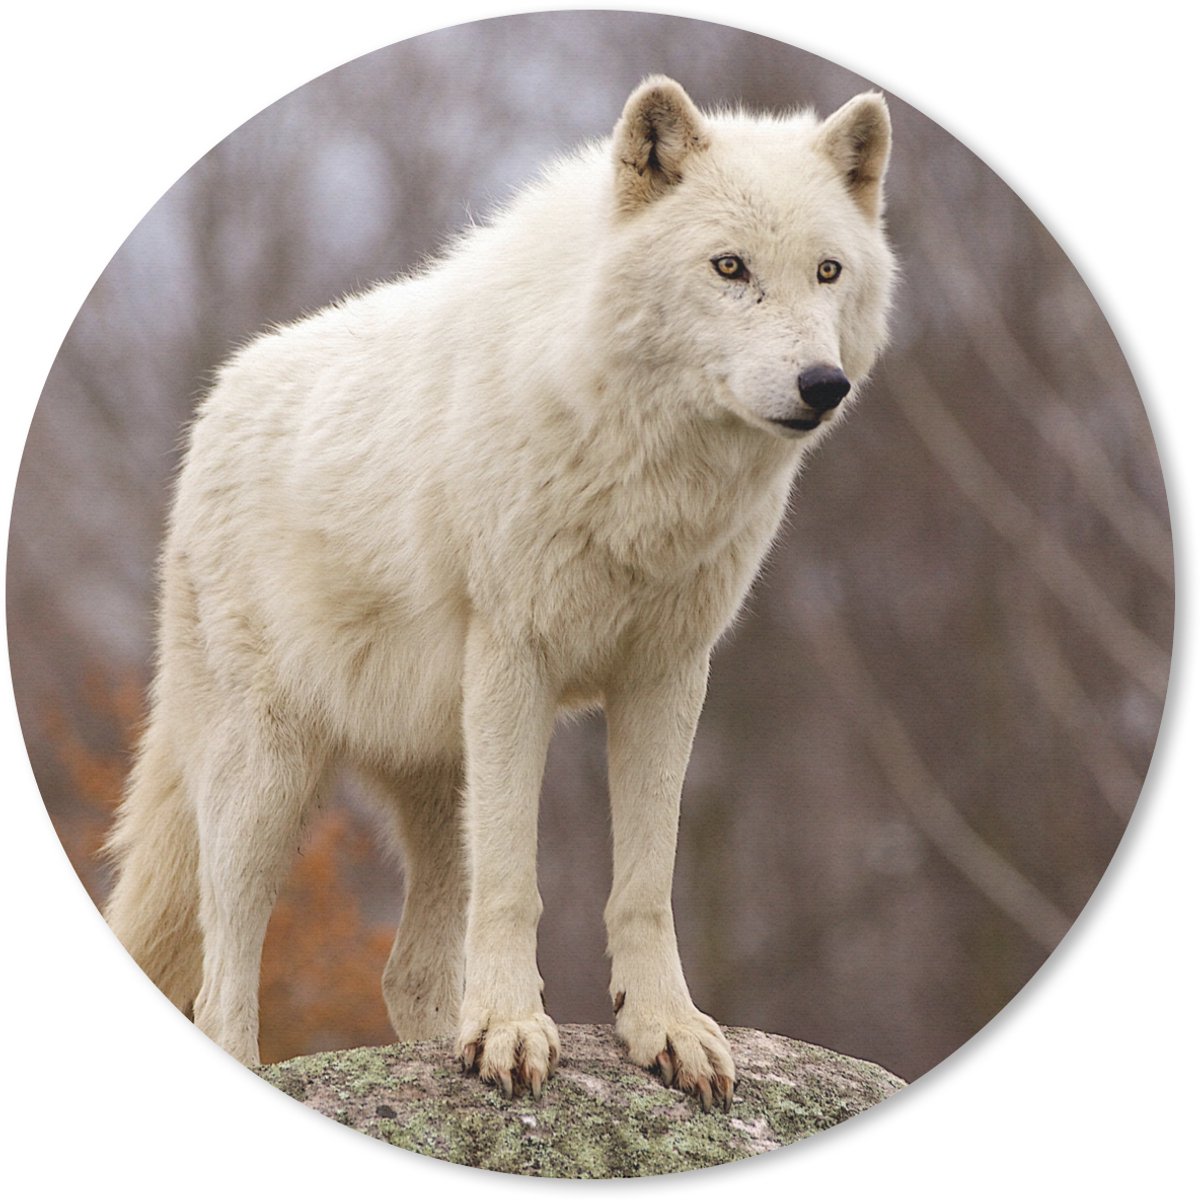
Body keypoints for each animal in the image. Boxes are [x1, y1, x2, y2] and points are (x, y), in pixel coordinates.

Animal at [104, 77, 894, 1111]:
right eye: (730, 267)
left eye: (829, 272)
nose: (823, 384)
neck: (642, 466)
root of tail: (216, 401)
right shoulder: (516, 659)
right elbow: (517, 883)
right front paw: (515, 1031)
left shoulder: (669, 674)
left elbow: (646, 882)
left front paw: (665, 1030)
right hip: (266, 776)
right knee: (221, 973)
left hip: (438, 775)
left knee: (407, 971)